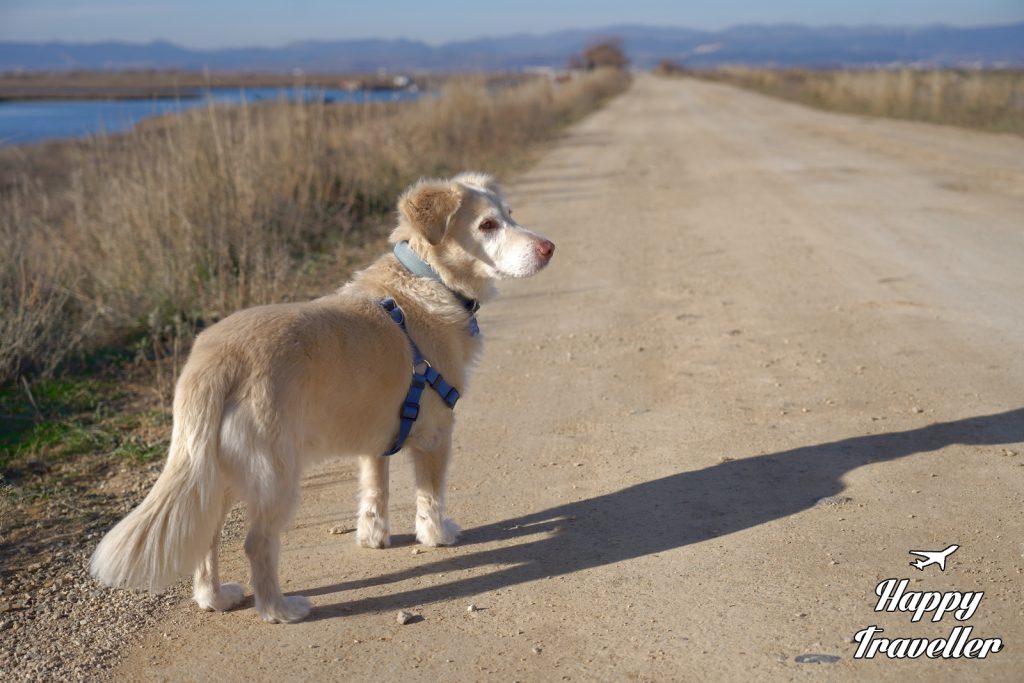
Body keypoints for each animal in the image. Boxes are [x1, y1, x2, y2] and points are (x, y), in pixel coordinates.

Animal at [90, 172, 555, 623]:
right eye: (487, 226)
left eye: (510, 215)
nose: (549, 248)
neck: (429, 277)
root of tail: (215, 358)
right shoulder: (435, 435)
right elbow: (430, 497)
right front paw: (438, 535)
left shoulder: (379, 438)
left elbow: (374, 493)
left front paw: (373, 538)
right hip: (276, 475)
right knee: (256, 544)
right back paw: (279, 610)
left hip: (215, 473)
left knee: (207, 539)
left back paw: (215, 598)